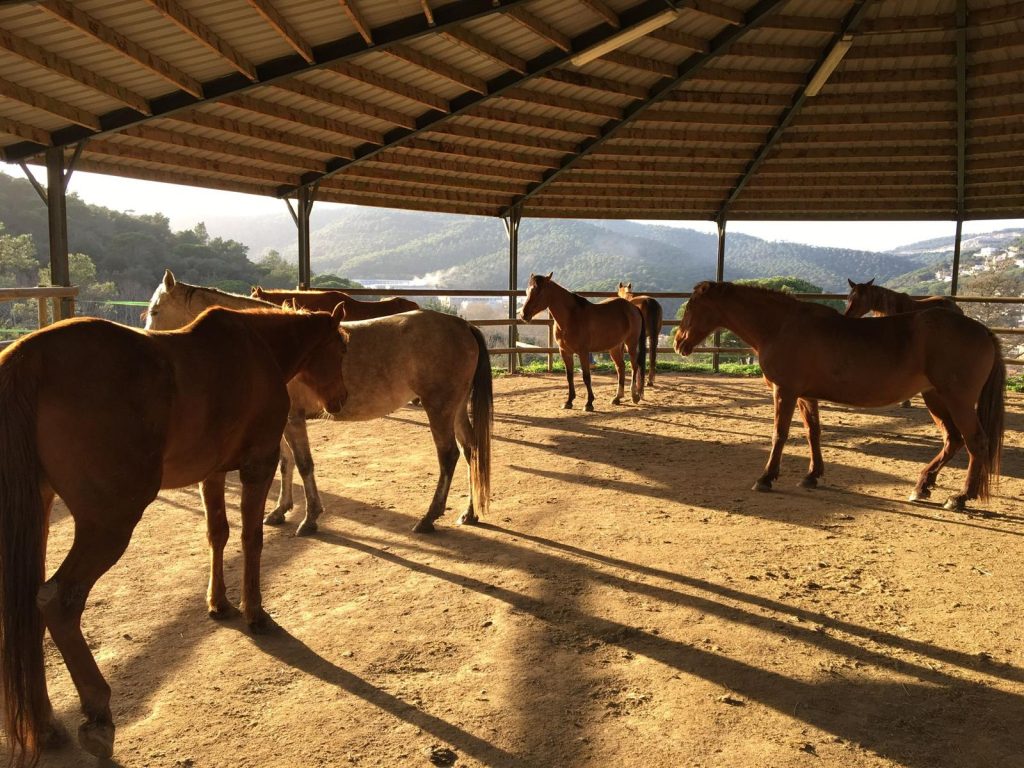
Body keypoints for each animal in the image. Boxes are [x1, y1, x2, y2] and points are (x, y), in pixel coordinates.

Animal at [0, 305, 348, 764]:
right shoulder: (258, 465)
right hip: (108, 523)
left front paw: (219, 603)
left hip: (37, 510)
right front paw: (254, 612)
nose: (341, 400)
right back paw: (98, 716)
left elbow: (218, 535)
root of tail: (29, 358)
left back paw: (44, 725)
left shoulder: (213, 473)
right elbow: (251, 539)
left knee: (26, 608)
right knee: (58, 602)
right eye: (342, 347)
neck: (257, 346)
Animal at [147, 271, 491, 535]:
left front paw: (310, 518)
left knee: (449, 456)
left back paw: (429, 518)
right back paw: (469, 512)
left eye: (154, 311)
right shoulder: (281, 423)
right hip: (455, 409)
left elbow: (303, 464)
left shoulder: (293, 421)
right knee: (471, 451)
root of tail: (462, 325)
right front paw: (280, 511)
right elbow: (286, 463)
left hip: (439, 408)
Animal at [520, 273, 646, 411]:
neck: (570, 317)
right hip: (615, 347)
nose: (523, 315)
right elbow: (569, 376)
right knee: (621, 367)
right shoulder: (565, 352)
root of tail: (633, 307)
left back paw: (634, 396)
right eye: (527, 291)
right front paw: (569, 401)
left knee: (634, 366)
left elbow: (586, 377)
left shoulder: (583, 352)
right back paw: (617, 397)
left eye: (539, 291)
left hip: (631, 344)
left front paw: (589, 403)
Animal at [674, 281, 1004, 512]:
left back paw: (960, 497)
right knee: (953, 440)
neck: (780, 326)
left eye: (691, 307)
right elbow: (813, 433)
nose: (679, 343)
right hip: (935, 397)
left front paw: (766, 477)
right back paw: (922, 486)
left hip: (957, 400)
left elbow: (780, 434)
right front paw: (812, 475)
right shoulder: (806, 396)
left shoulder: (785, 392)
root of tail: (982, 330)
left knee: (976, 442)